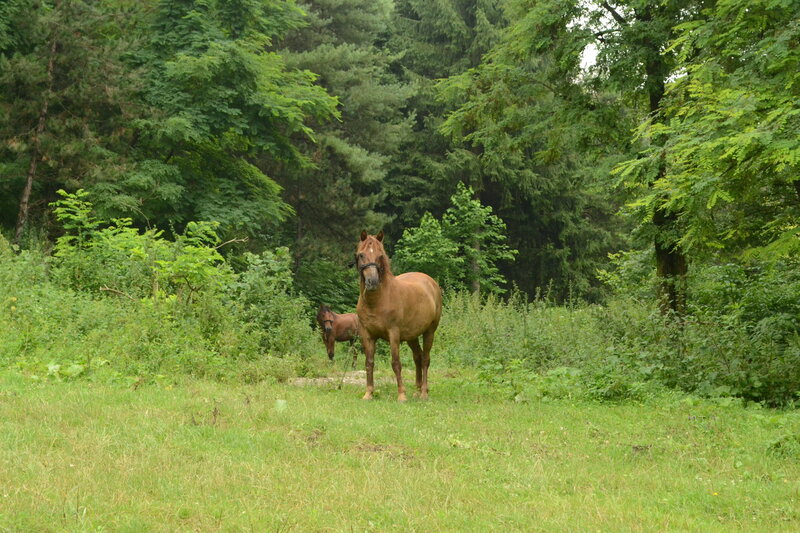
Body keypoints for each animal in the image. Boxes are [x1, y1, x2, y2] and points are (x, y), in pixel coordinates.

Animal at [355, 230, 442, 401]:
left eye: (380, 255)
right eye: (361, 255)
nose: (372, 282)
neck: (377, 301)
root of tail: (431, 282)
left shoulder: (393, 333)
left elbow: (396, 363)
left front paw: (401, 395)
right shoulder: (367, 334)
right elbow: (369, 362)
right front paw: (368, 393)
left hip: (429, 331)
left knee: (425, 359)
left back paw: (423, 393)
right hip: (412, 336)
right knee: (418, 356)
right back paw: (417, 390)